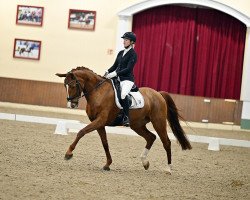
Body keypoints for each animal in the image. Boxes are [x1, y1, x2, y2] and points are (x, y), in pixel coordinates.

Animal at [55, 67, 191, 173]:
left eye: (73, 85)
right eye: (65, 86)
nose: (71, 104)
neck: (98, 92)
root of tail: (158, 93)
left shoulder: (100, 120)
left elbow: (81, 132)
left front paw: (68, 153)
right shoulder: (100, 124)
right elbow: (105, 143)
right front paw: (107, 164)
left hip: (158, 122)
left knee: (166, 142)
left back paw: (168, 168)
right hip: (137, 125)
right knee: (151, 137)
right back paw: (145, 163)